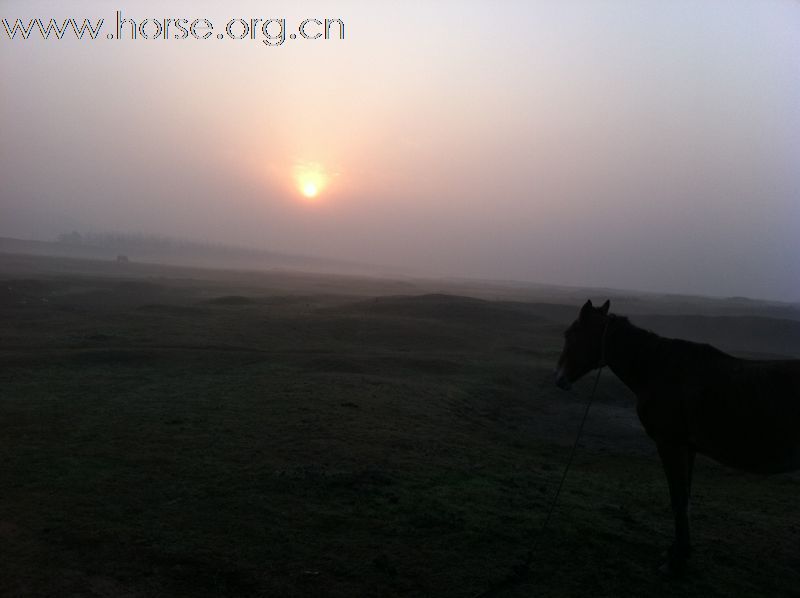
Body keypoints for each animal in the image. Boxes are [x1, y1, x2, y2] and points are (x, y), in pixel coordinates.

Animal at [556, 300, 800, 576]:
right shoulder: (688, 448)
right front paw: (678, 551)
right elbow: (685, 499)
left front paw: (676, 561)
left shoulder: (670, 444)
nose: (559, 379)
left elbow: (678, 499)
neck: (657, 369)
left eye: (570, 334)